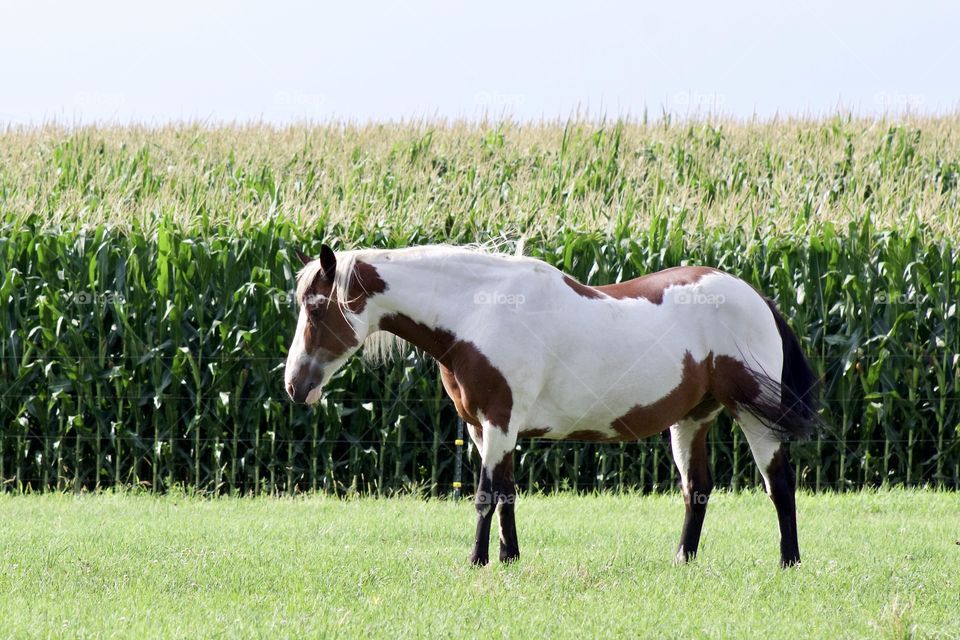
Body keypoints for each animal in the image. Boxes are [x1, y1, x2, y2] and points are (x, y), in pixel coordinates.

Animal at [284, 242, 816, 568]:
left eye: (316, 306)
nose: (294, 386)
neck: (478, 311)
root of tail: (759, 299)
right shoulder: (483, 428)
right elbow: (506, 492)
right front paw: (508, 559)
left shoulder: (499, 421)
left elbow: (485, 494)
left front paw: (476, 562)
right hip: (691, 418)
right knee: (697, 489)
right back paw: (683, 560)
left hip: (754, 416)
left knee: (779, 484)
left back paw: (789, 561)